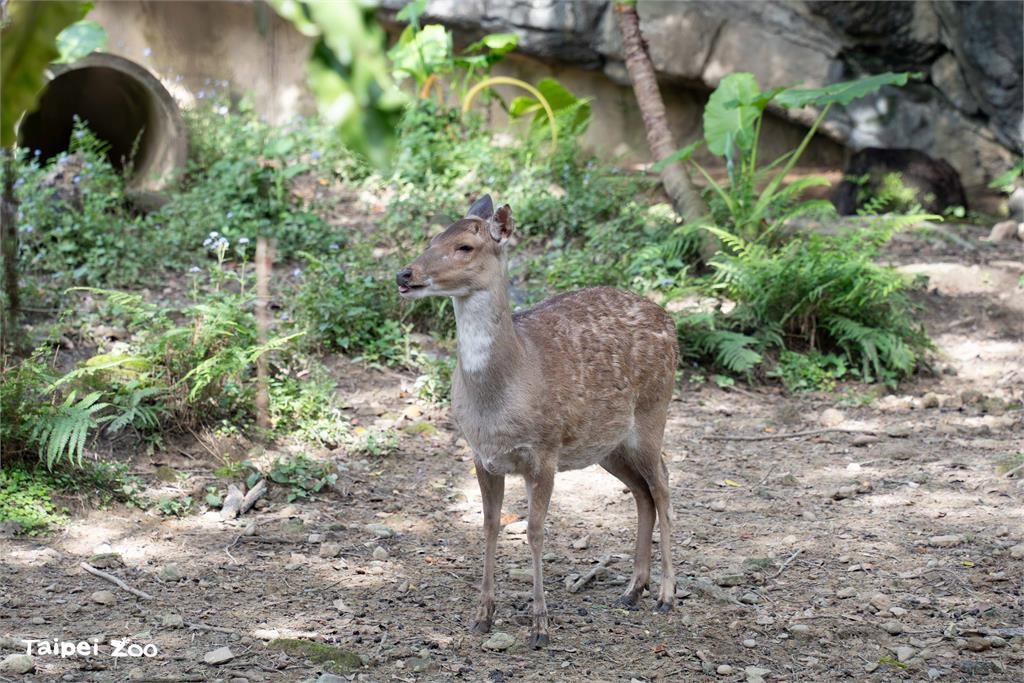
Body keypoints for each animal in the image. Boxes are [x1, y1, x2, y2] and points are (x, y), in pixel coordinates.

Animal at [396, 195, 678, 648]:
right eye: (432, 239)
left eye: (464, 247)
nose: (405, 274)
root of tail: (670, 321)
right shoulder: (481, 454)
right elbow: (490, 525)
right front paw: (483, 615)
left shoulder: (544, 450)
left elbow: (535, 531)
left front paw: (540, 625)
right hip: (607, 445)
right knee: (641, 493)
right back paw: (633, 589)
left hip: (654, 412)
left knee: (664, 485)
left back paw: (667, 594)